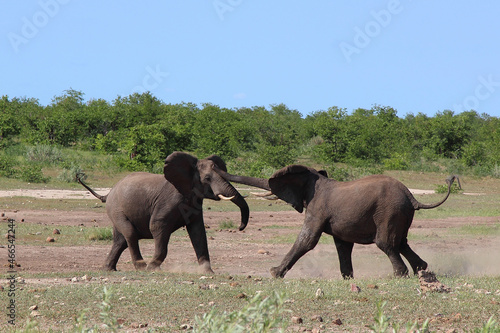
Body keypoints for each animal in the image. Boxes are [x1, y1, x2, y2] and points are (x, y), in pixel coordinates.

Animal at [78, 152, 250, 272]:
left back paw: (109, 269)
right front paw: (153, 268)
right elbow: (157, 226)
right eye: (207, 178)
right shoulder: (168, 202)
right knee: (130, 233)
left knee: (120, 240)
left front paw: (207, 272)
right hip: (116, 208)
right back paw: (141, 267)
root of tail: (108, 194)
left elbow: (198, 232)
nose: (240, 227)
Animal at [213, 165, 458, 278]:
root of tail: (411, 196)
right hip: (400, 214)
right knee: (402, 243)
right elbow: (342, 245)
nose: (213, 166)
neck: (314, 176)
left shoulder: (317, 208)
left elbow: (307, 240)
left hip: (389, 212)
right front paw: (348, 278)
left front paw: (274, 273)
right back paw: (421, 270)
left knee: (387, 243)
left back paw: (400, 275)